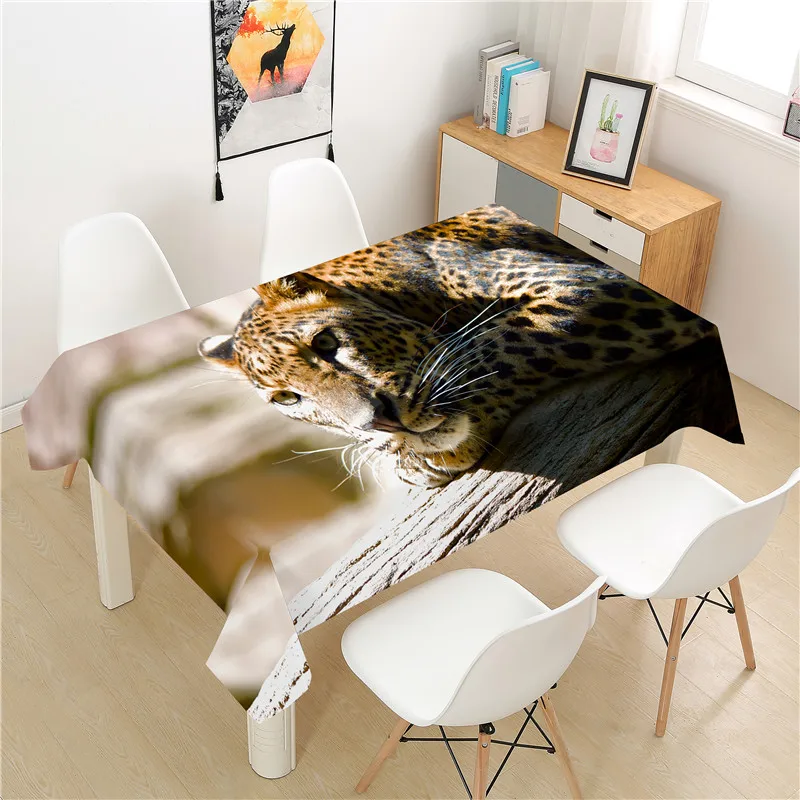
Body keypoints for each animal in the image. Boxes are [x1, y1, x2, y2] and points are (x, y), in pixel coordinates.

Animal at [199, 205, 715, 488]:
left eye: (325, 342)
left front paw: (421, 453)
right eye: (288, 398)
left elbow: (497, 343)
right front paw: (407, 457)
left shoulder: (584, 286)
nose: (379, 423)